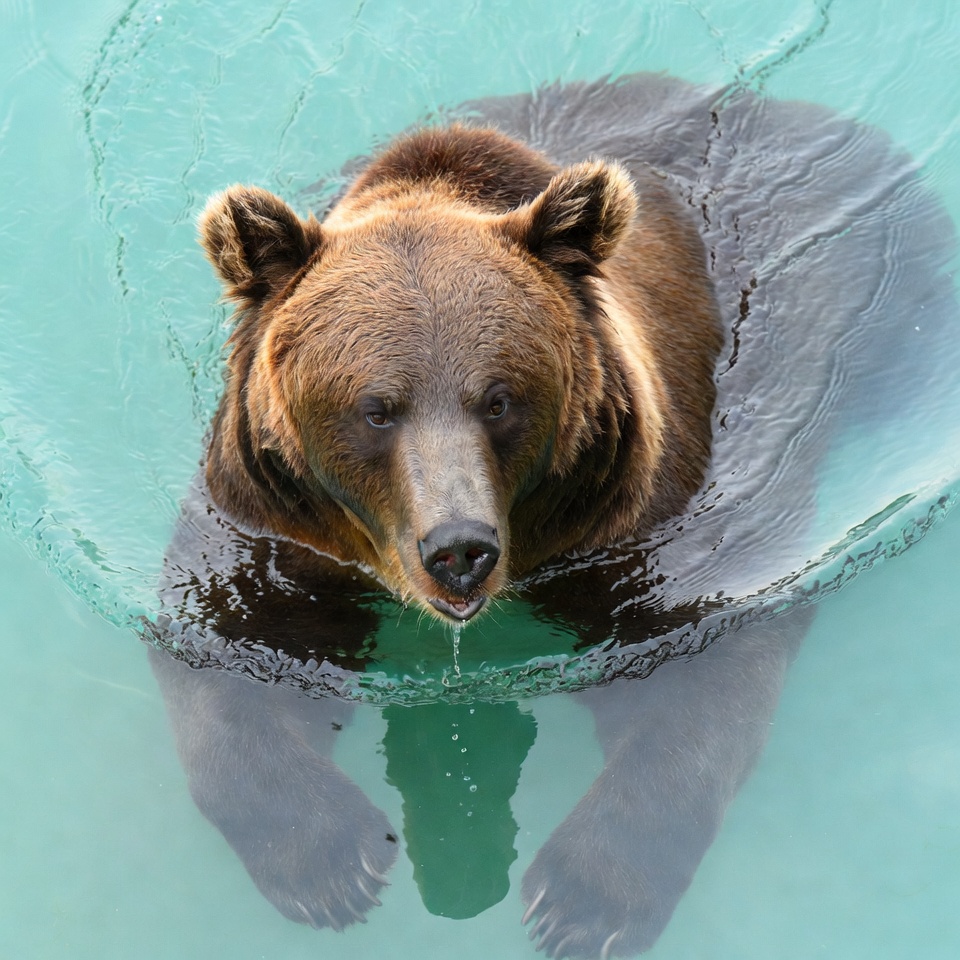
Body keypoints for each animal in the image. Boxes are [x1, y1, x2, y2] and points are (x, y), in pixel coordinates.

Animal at [149, 72, 957, 958]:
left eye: (499, 398)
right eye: (376, 408)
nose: (458, 549)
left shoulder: (649, 533)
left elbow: (700, 688)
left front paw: (582, 905)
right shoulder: (268, 530)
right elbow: (227, 662)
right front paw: (334, 866)